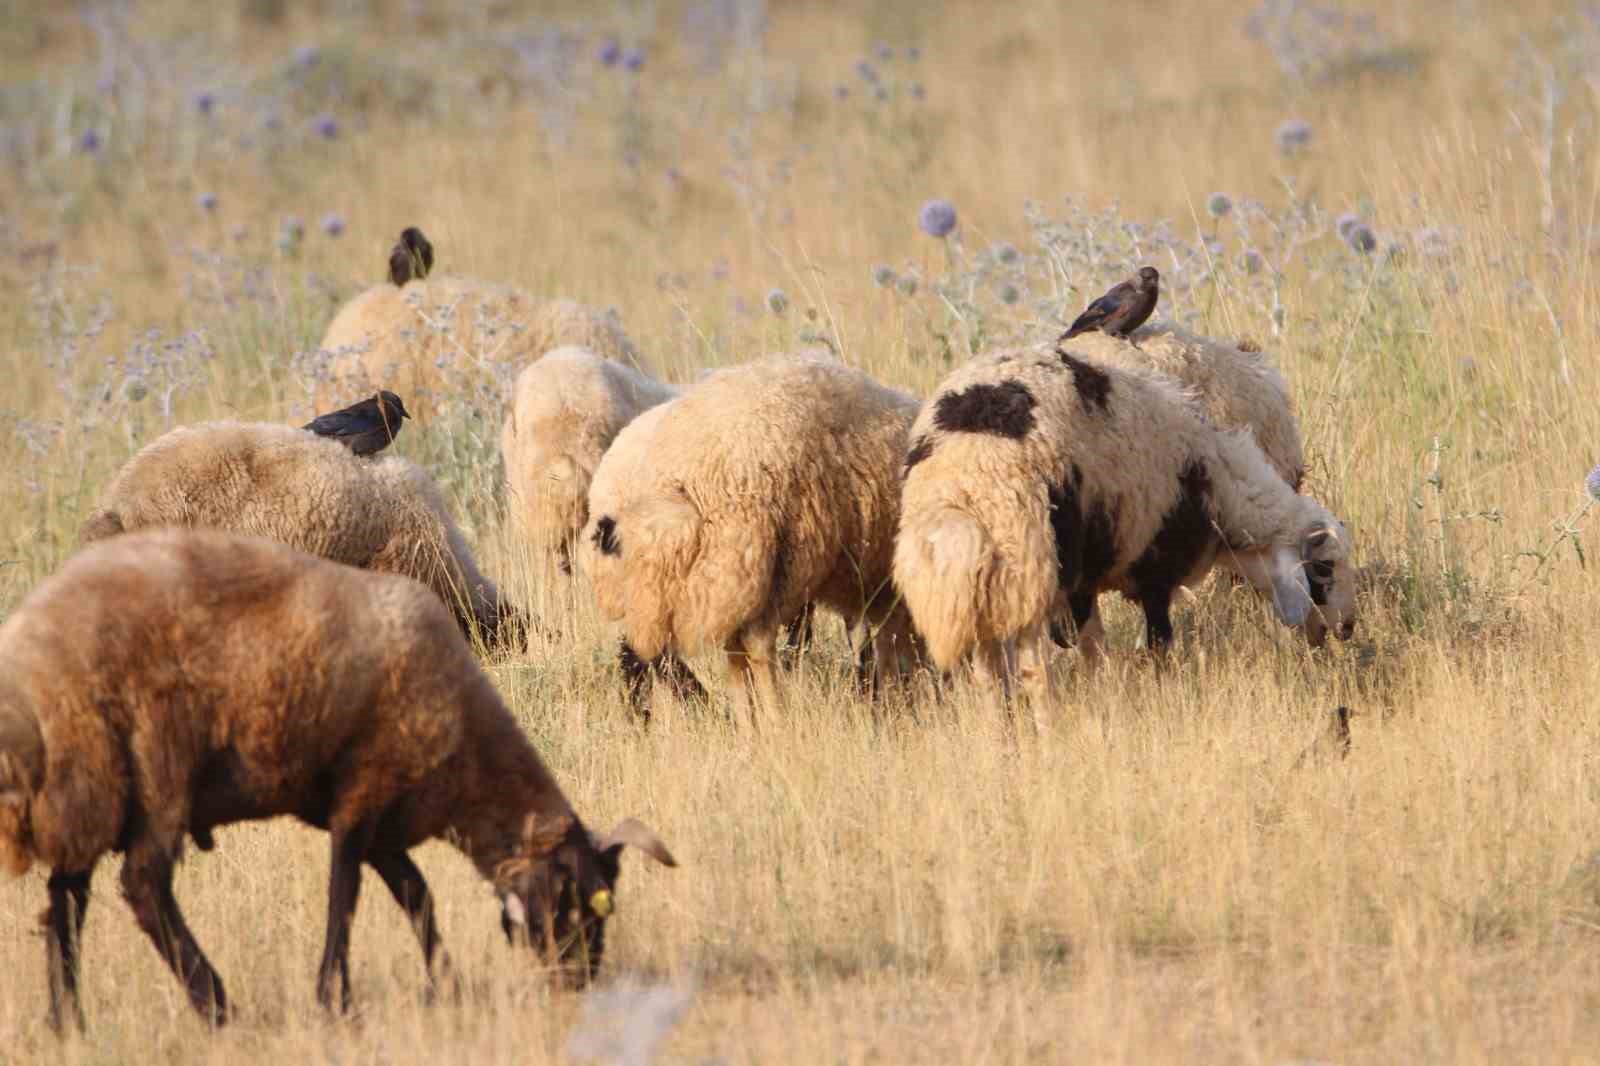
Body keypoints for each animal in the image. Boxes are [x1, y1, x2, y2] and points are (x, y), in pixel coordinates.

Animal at [0, 531, 672, 1030]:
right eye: (585, 902)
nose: (579, 984)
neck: (468, 765)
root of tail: (35, 658)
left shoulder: (389, 817)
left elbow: (417, 897)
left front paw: (446, 984)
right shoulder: (362, 794)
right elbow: (344, 898)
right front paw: (335, 1001)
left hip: (90, 781)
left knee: (66, 900)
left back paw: (69, 1023)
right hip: (157, 762)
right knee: (143, 884)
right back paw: (218, 1008)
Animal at [896, 340, 1356, 704]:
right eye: (1324, 567)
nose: (1348, 629)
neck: (1222, 485)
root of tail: (964, 483)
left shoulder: (1087, 582)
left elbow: (1094, 646)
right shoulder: (1151, 570)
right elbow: (1154, 644)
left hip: (985, 581)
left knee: (988, 674)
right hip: (1031, 558)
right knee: (1032, 667)